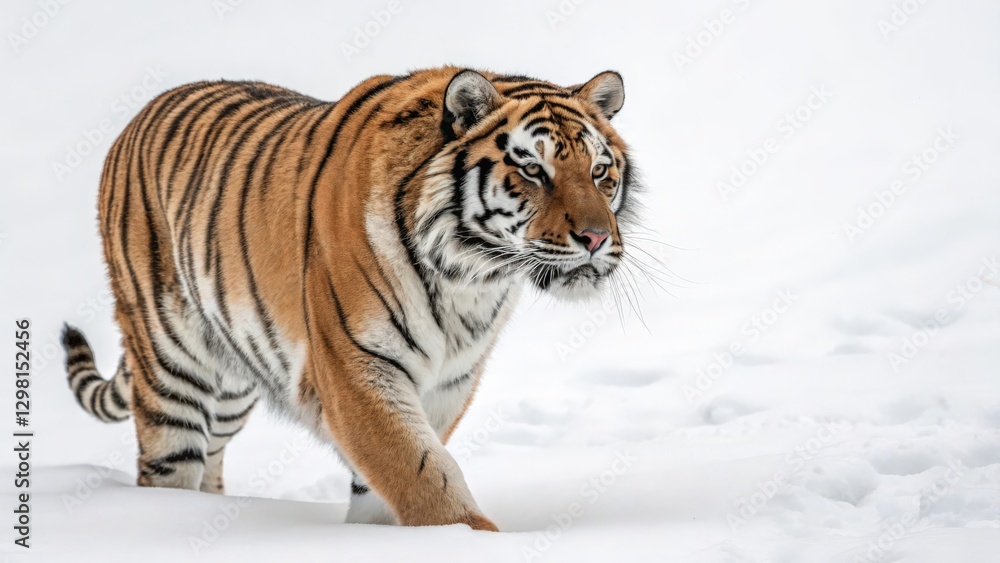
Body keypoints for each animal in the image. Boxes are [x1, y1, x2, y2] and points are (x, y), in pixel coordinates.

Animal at [61, 66, 638, 531]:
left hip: (231, 387)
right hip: (173, 367)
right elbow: (422, 475)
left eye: (599, 172)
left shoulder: (449, 383)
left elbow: (394, 481)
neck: (470, 278)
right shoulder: (355, 369)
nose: (595, 238)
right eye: (532, 170)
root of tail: (140, 116)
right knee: (165, 465)